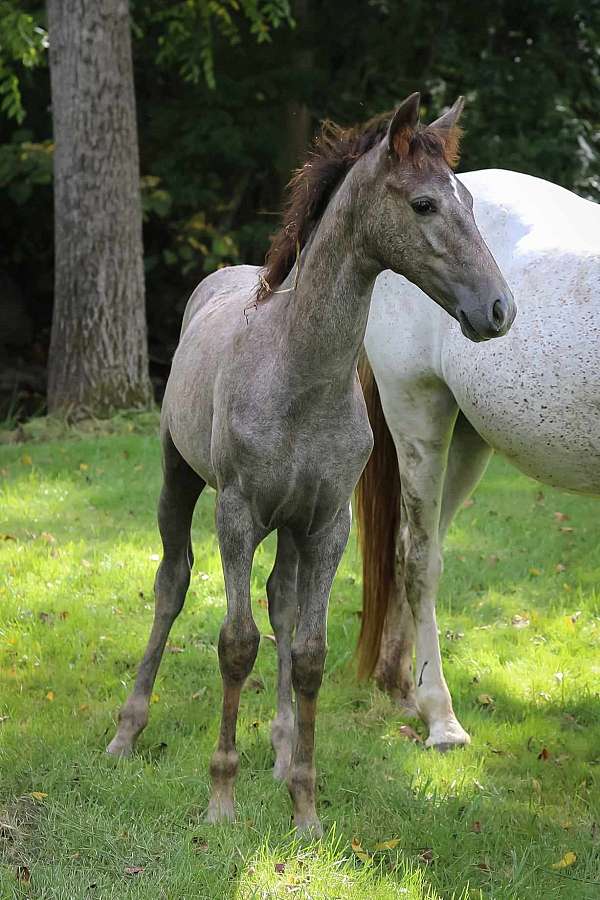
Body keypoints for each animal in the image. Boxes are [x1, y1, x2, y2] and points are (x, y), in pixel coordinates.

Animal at [106, 95, 510, 832]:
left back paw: (281, 744)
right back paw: (127, 731)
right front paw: (221, 800)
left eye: (467, 198)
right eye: (424, 204)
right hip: (179, 479)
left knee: (283, 606)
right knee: (172, 584)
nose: (497, 308)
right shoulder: (237, 513)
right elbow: (236, 643)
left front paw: (305, 806)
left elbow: (309, 653)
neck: (299, 373)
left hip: (291, 528)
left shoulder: (326, 525)